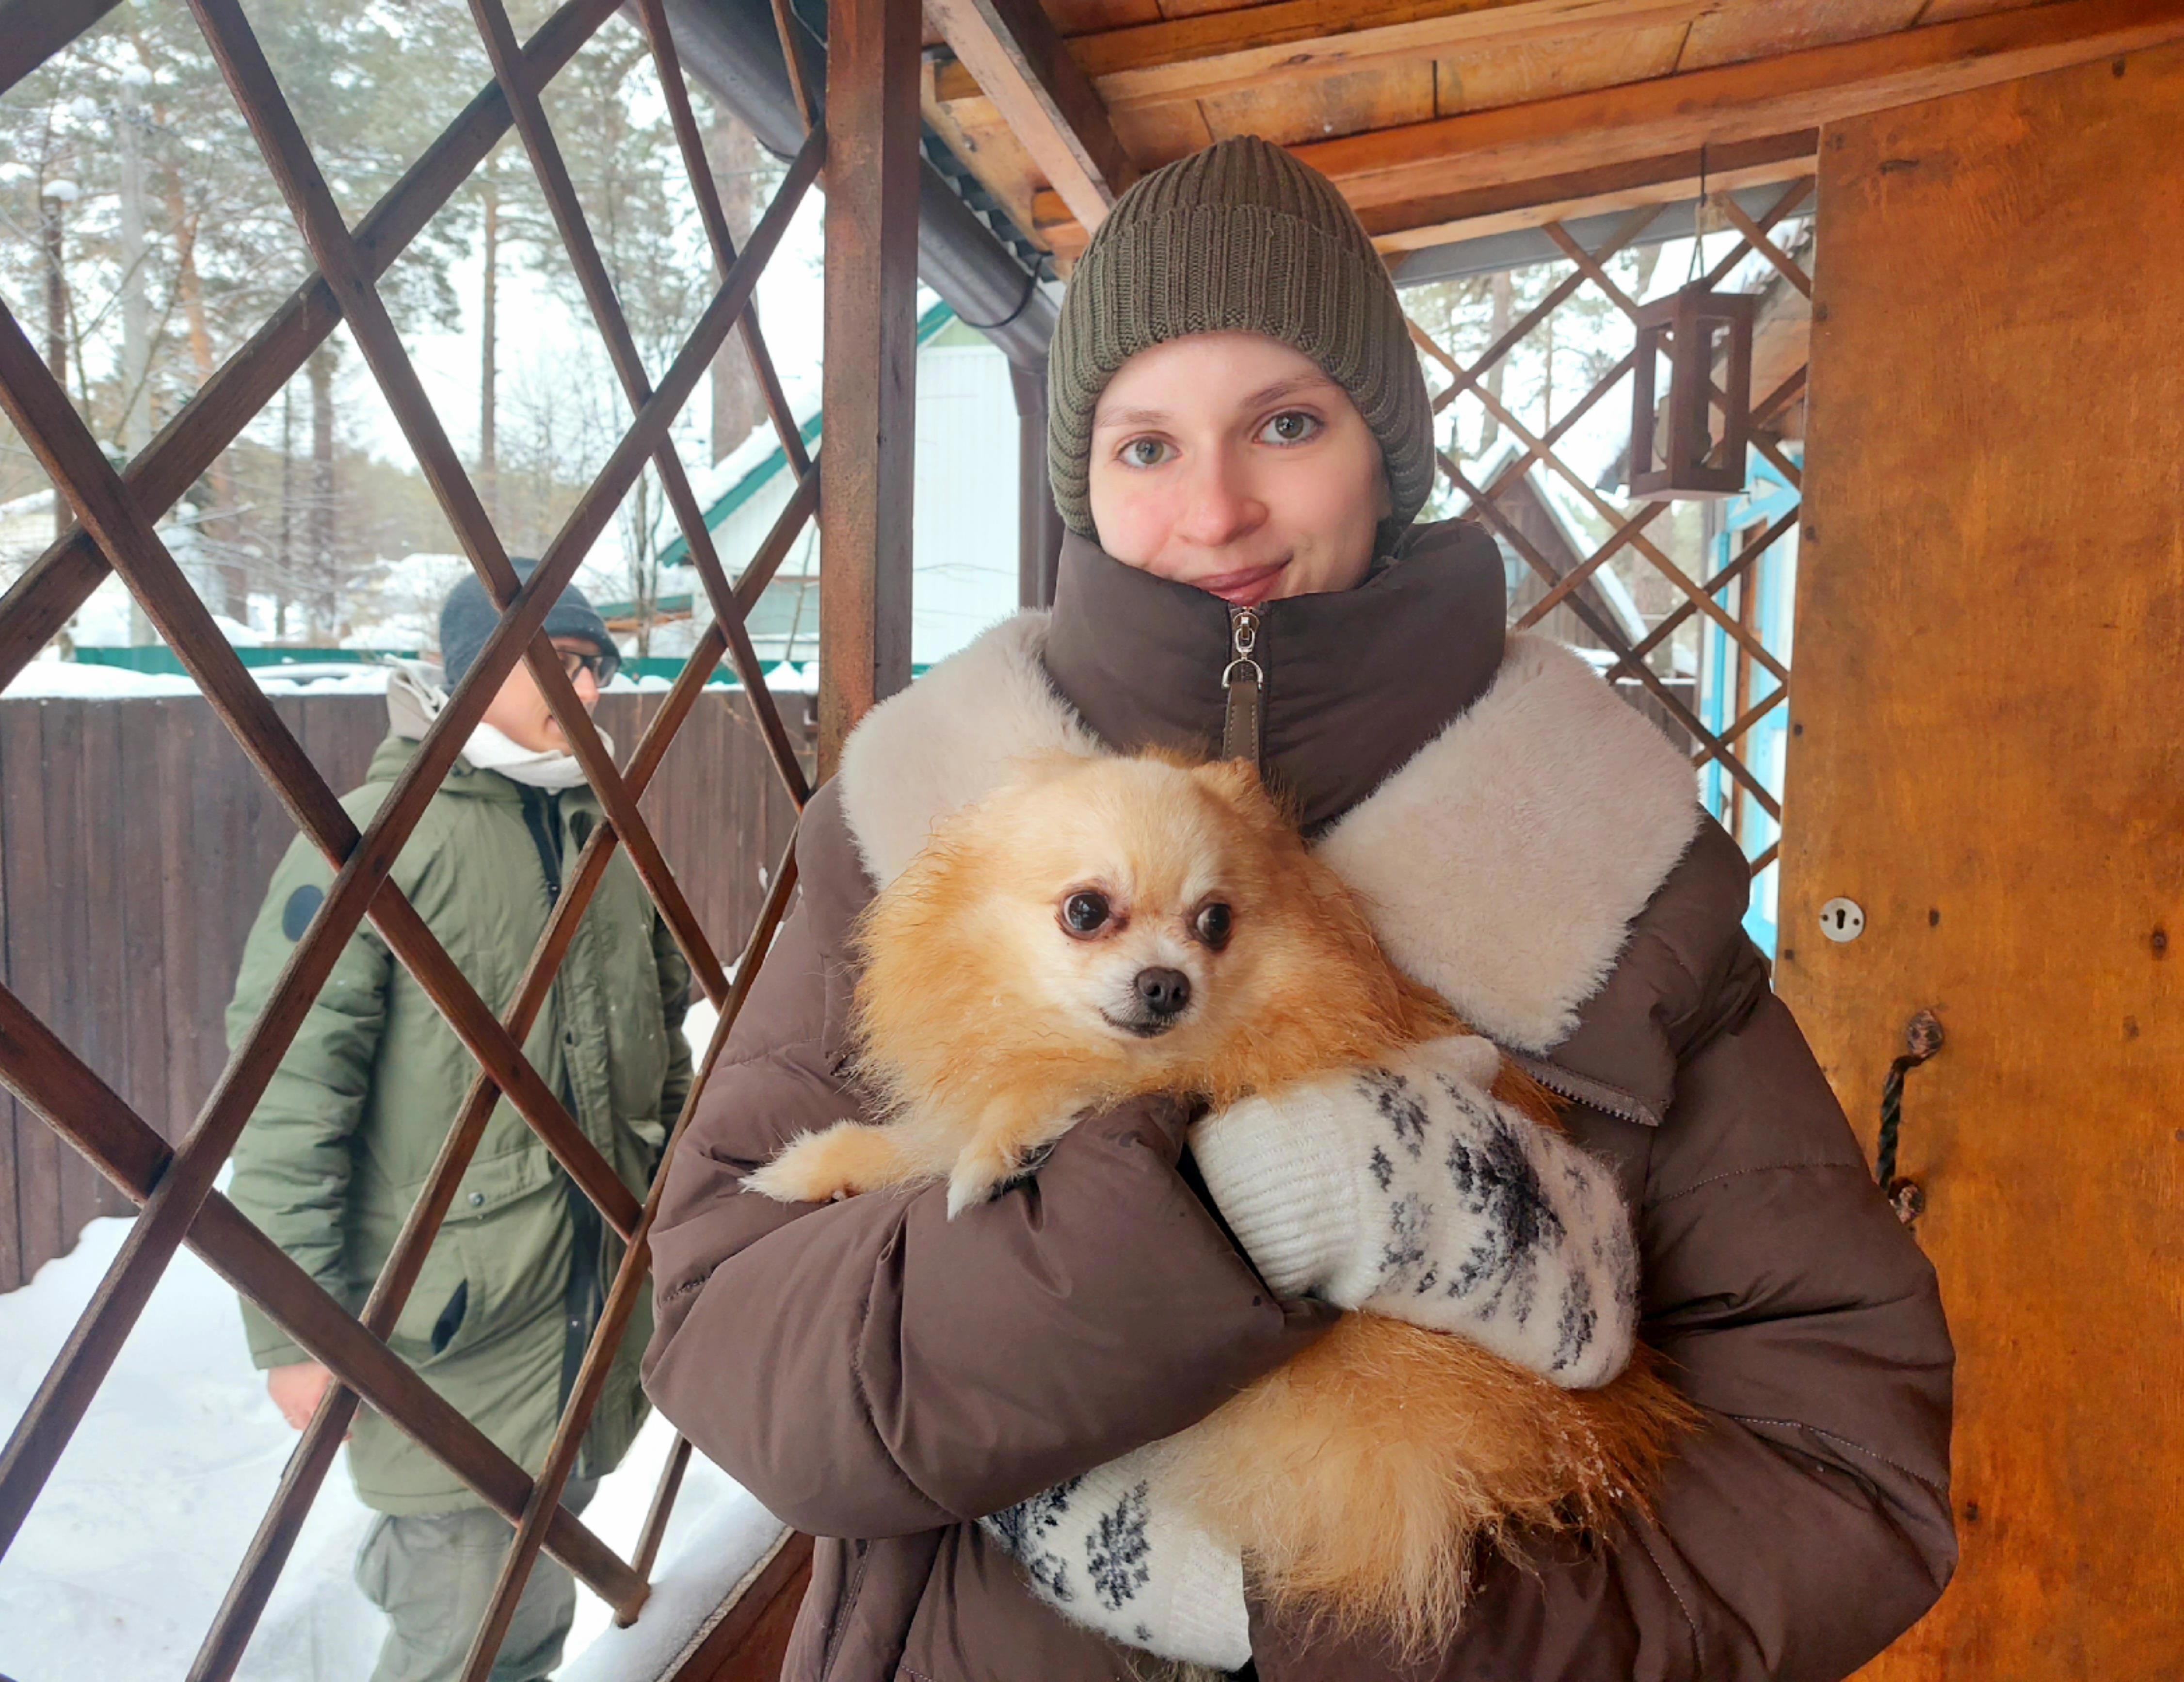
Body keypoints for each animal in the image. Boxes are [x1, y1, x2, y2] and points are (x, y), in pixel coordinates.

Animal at [749, 752, 1694, 1652]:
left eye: (1215, 922)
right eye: (1086, 910)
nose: (1166, 982)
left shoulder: (1191, 1079)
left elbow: (1050, 1096)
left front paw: (1001, 1144)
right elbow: (916, 1144)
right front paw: (815, 1165)